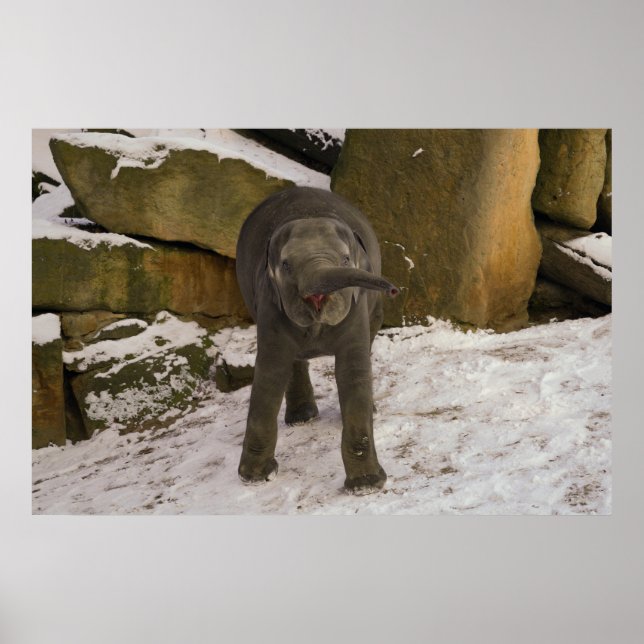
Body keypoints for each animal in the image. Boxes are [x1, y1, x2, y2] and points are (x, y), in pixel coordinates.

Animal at [235, 186, 399, 495]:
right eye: (286, 265)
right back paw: (303, 418)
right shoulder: (269, 302)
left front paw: (366, 486)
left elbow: (352, 370)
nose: (394, 289)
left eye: (345, 259)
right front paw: (256, 477)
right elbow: (270, 371)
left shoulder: (356, 304)